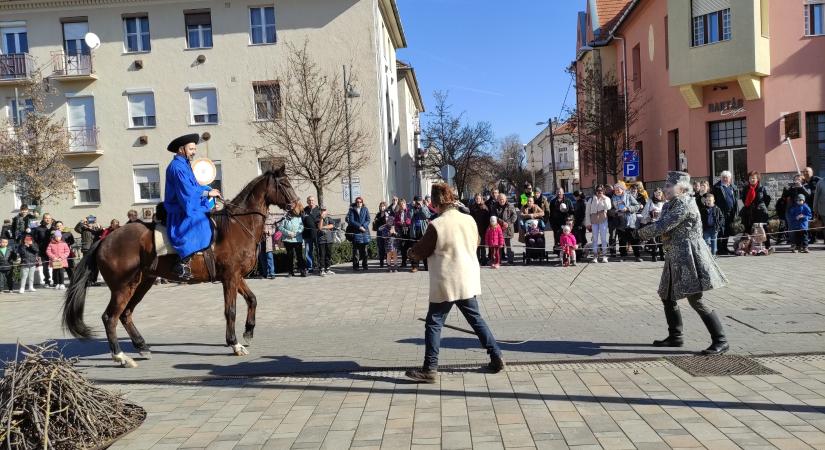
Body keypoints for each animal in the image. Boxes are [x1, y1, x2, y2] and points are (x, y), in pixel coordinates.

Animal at [62, 167, 300, 368]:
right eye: (285, 184)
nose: (298, 207)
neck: (236, 226)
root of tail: (105, 240)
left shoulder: (236, 277)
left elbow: (252, 299)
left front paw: (248, 332)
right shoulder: (230, 278)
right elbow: (230, 310)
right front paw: (234, 343)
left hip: (142, 282)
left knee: (126, 314)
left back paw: (142, 346)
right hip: (123, 287)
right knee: (110, 317)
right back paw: (121, 356)